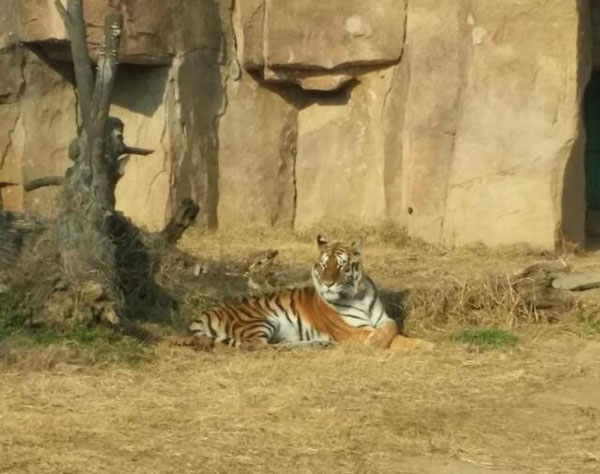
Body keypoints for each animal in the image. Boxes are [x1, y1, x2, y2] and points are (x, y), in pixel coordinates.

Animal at [180, 236, 434, 352]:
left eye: (341, 266)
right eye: (323, 265)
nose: (328, 284)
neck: (359, 295)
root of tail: (199, 316)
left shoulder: (384, 320)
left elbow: (393, 329)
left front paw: (425, 344)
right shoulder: (352, 332)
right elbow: (393, 338)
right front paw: (378, 343)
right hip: (257, 320)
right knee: (260, 346)